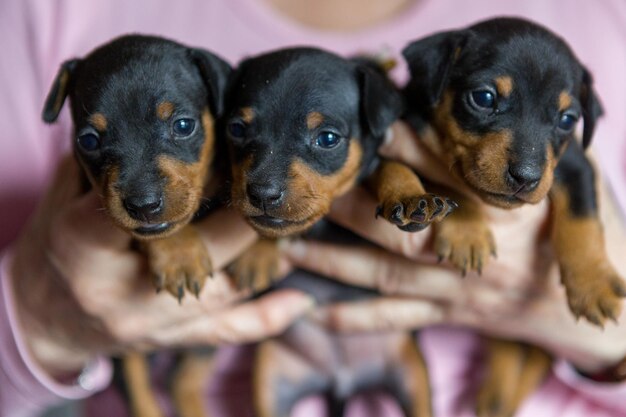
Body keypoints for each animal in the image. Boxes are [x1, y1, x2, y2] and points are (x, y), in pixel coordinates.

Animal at [42, 35, 230, 416]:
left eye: (183, 126)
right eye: (88, 140)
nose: (143, 205)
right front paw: (179, 255)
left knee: (183, 376)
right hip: (122, 349)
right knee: (138, 385)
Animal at [224, 48, 438, 416]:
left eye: (327, 139)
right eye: (236, 129)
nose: (263, 194)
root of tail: (340, 378)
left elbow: (390, 165)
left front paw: (409, 196)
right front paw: (257, 254)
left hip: (412, 374)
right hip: (272, 380)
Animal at [402, 17, 620, 416]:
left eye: (568, 119)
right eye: (484, 98)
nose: (527, 177)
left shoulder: (576, 165)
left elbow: (583, 219)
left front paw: (594, 285)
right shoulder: (413, 138)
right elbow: (447, 181)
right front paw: (467, 235)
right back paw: (495, 397)